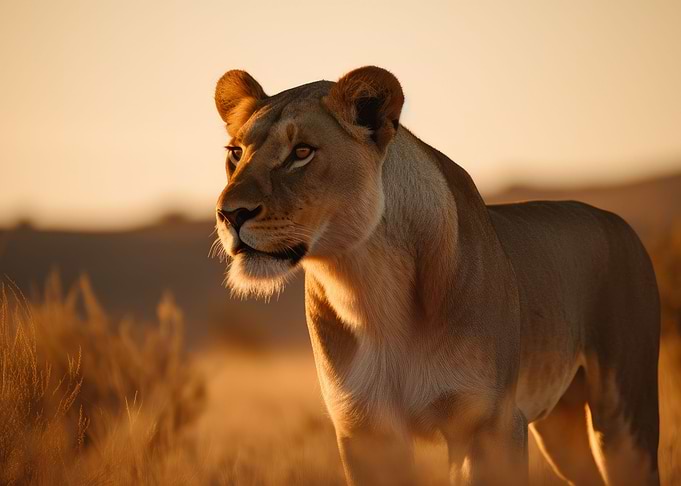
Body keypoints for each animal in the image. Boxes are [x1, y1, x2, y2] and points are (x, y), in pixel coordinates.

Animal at [212, 66, 660, 486]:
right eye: (235, 152)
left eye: (302, 152)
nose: (229, 214)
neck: (367, 281)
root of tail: (616, 222)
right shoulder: (366, 431)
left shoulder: (491, 423)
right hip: (561, 426)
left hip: (626, 417)